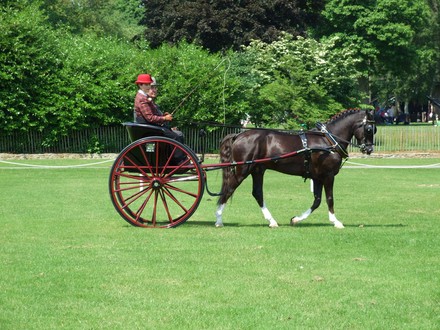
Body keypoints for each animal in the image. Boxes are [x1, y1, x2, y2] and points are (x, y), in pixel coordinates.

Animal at [215, 109, 376, 228]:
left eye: (374, 129)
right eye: (369, 129)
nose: (369, 149)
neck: (328, 141)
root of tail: (239, 135)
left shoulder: (318, 177)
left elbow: (317, 201)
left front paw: (296, 219)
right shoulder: (328, 175)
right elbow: (329, 199)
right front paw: (336, 222)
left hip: (257, 170)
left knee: (257, 193)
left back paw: (272, 221)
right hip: (243, 169)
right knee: (229, 189)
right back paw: (218, 219)